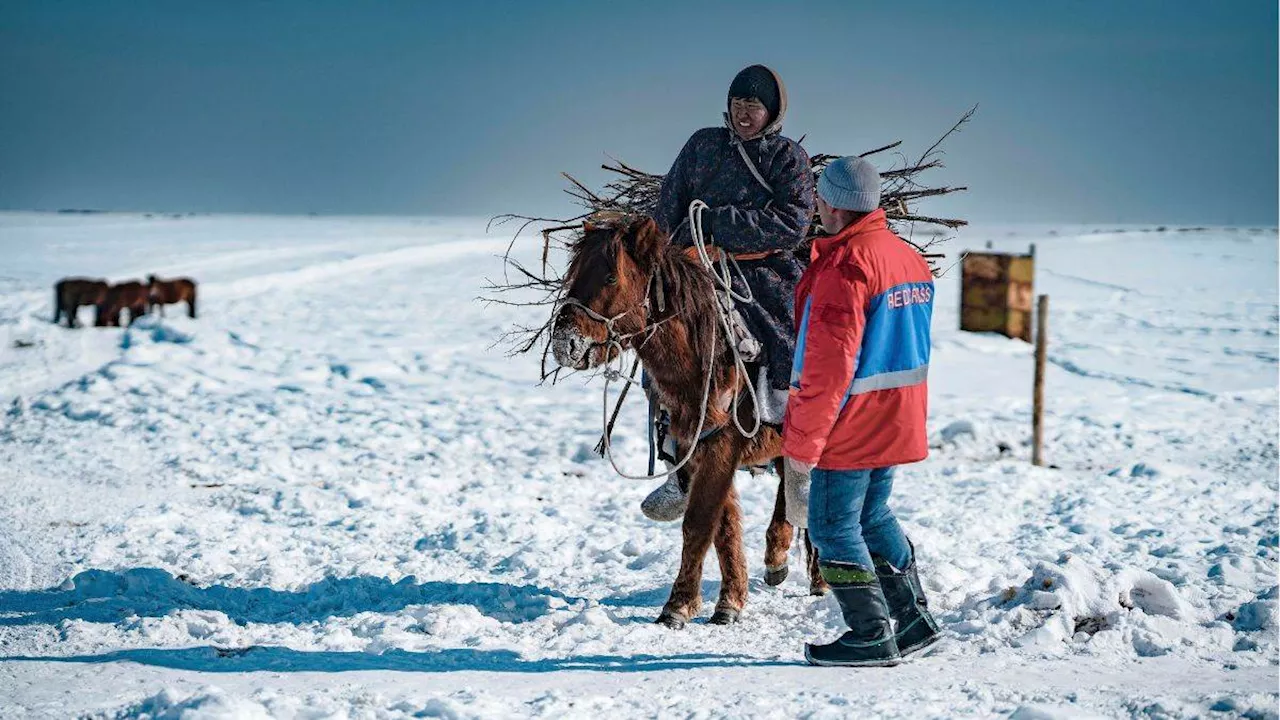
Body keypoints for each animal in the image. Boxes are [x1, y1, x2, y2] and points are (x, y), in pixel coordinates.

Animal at [547, 210, 824, 625]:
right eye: (574, 273)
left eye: (611, 276)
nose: (566, 343)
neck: (703, 356)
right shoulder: (693, 447)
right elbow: (723, 525)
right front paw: (729, 600)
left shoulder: (722, 446)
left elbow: (699, 520)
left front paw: (678, 606)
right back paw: (777, 559)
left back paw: (818, 578)